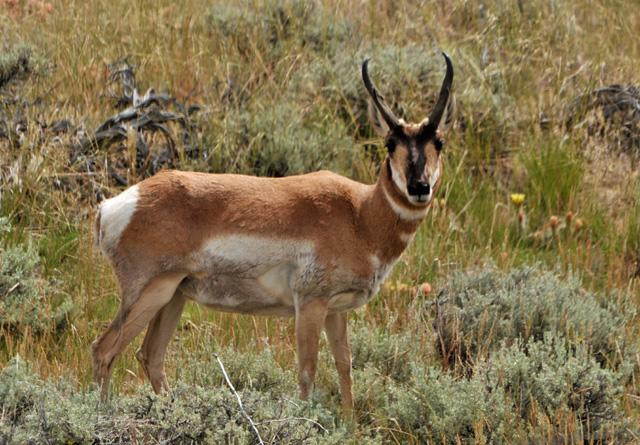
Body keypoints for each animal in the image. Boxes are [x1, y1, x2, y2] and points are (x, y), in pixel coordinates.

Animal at [94, 53, 456, 414]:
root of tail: (114, 205)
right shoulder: (310, 304)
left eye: (438, 141)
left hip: (174, 296)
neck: (359, 214)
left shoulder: (335, 310)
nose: (419, 187)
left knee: (150, 356)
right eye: (390, 143)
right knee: (104, 350)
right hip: (151, 292)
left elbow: (345, 366)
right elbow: (307, 371)